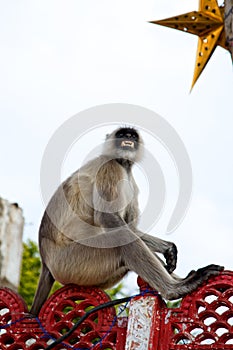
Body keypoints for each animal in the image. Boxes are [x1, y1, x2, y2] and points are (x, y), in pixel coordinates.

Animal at [30, 127, 223, 316]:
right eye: (122, 134)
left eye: (132, 136)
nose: (128, 139)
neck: (123, 164)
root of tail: (46, 261)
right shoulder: (109, 168)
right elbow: (109, 220)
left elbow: (131, 227)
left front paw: (168, 248)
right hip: (72, 263)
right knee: (121, 237)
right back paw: (177, 288)